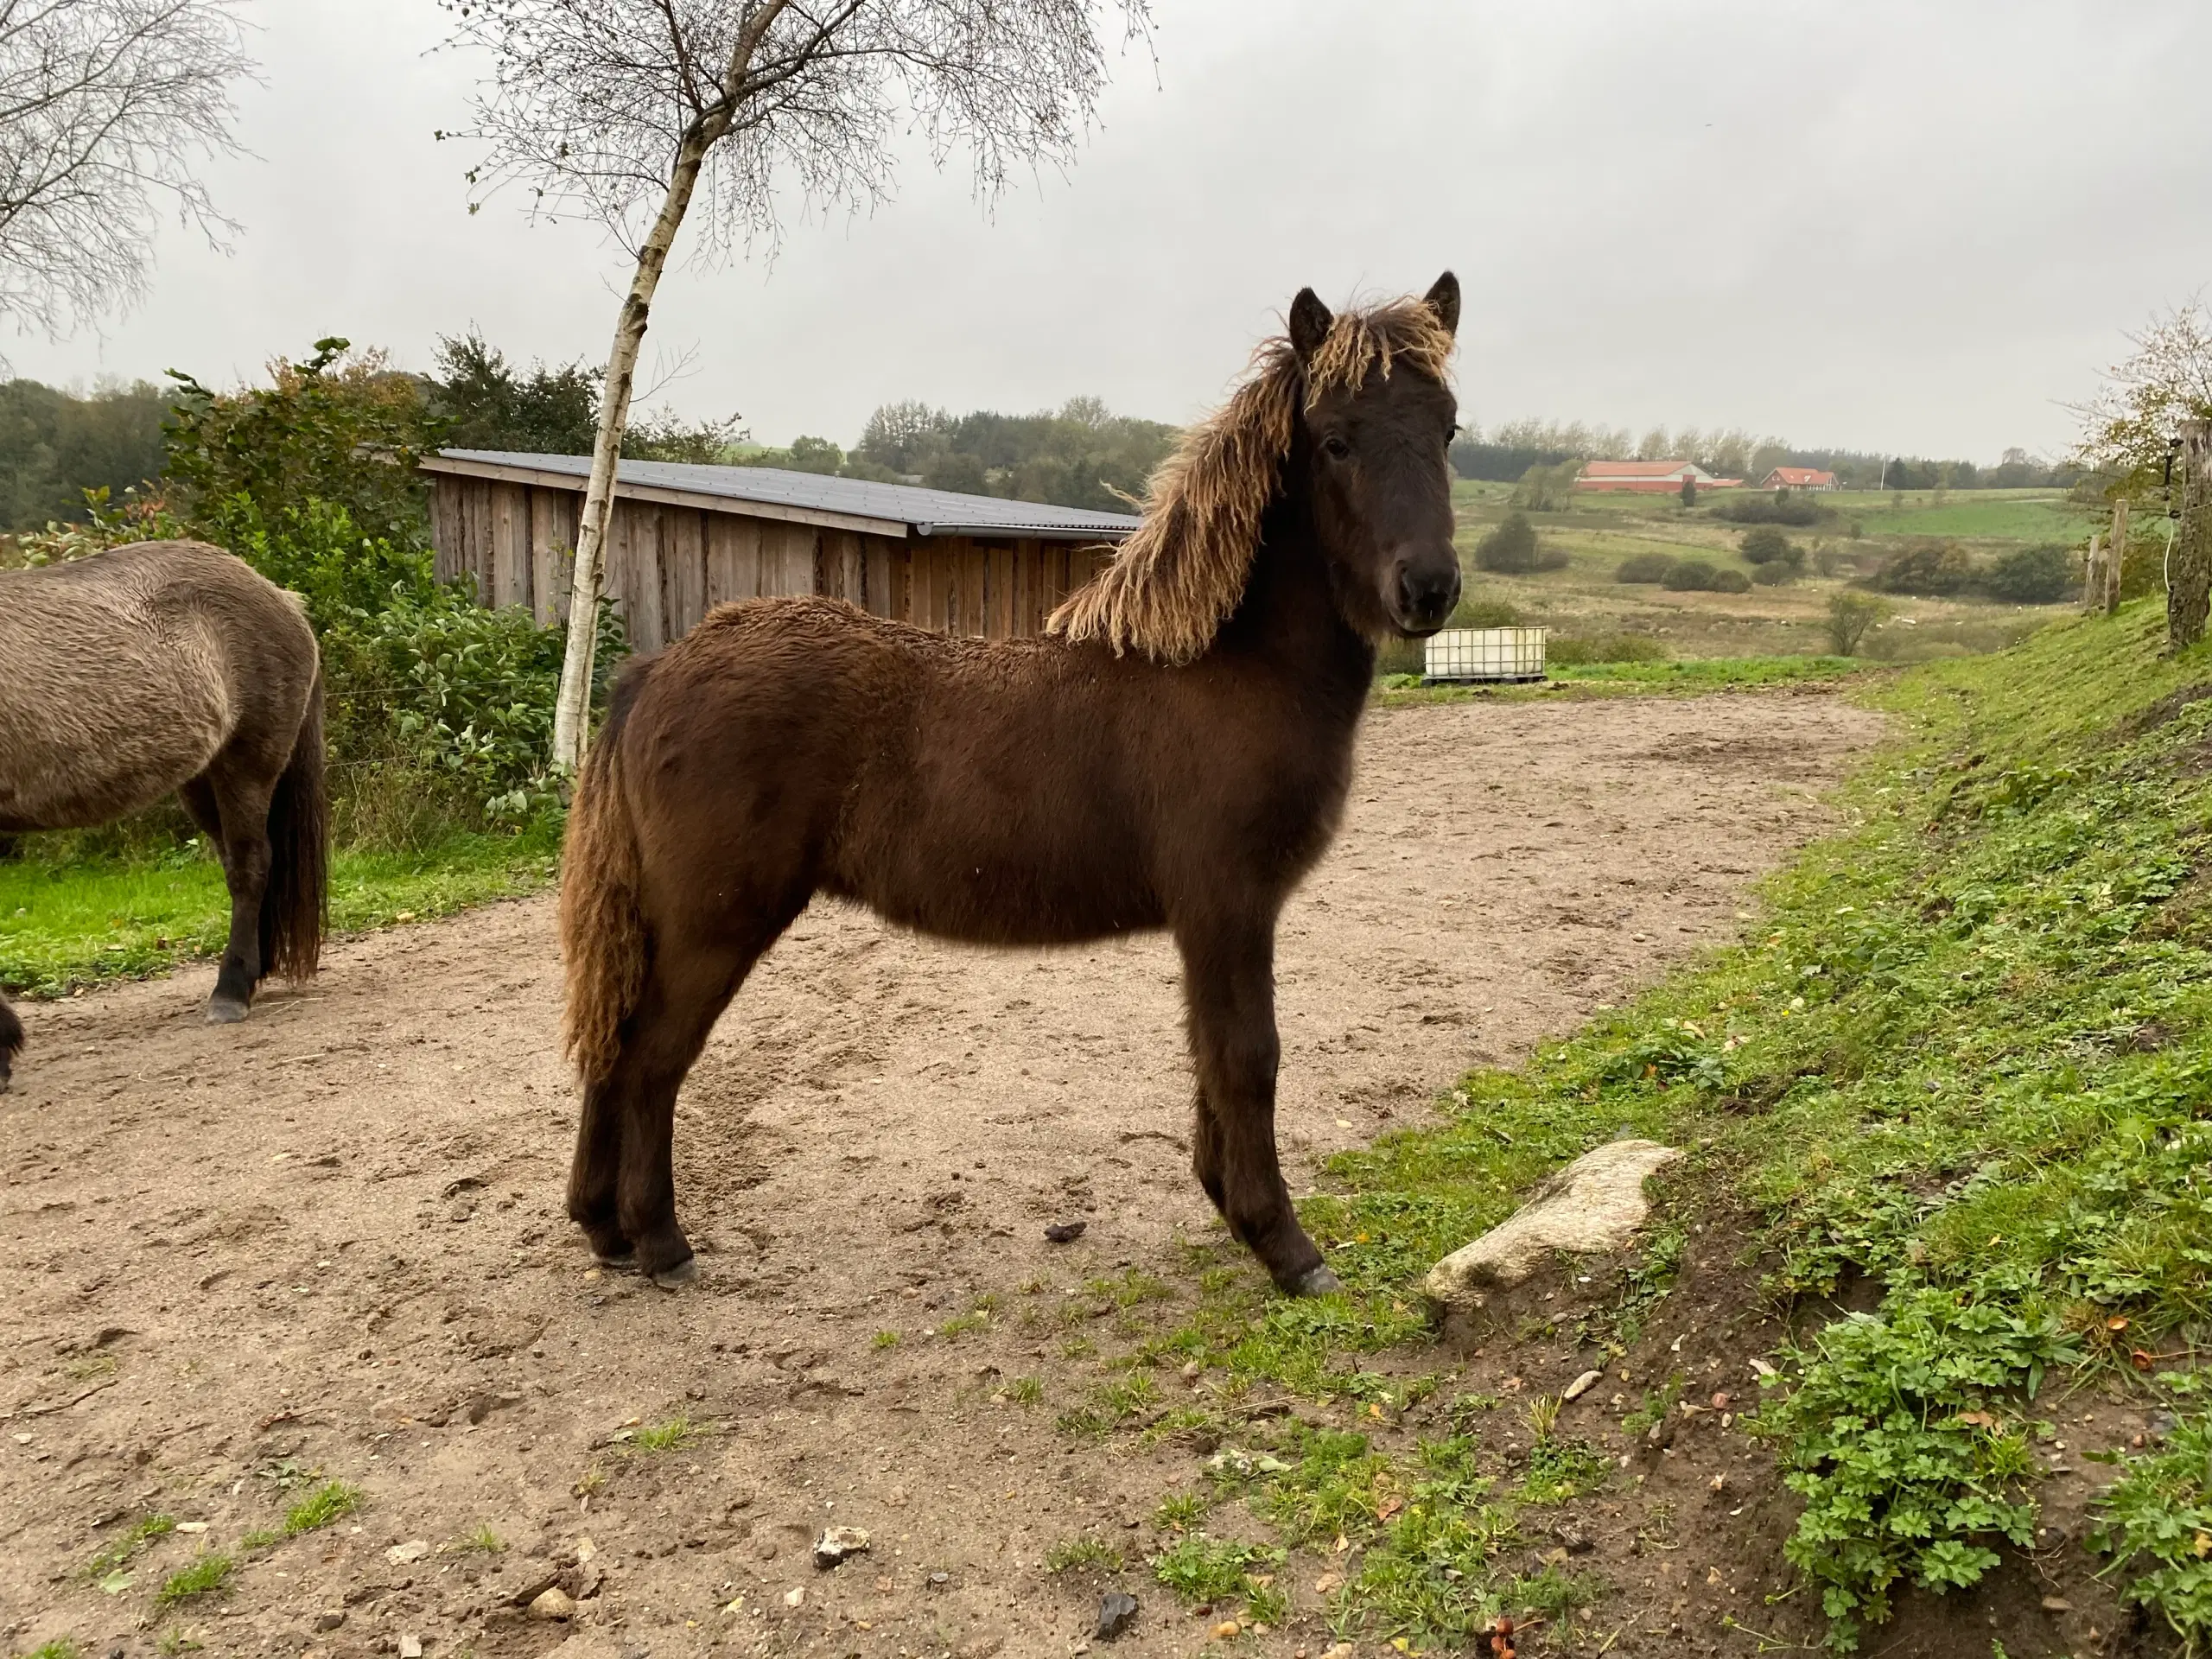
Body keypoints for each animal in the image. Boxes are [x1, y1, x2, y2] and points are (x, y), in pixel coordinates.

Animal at [0, 539, 327, 1096]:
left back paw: (231, 990)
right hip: (201, 779)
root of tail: (281, 597)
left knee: (250, 866)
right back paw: (254, 970)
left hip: (246, 764)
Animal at [562, 279, 1468, 1300]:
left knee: (611, 1043)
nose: (1428, 589)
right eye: (1336, 439)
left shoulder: (1213, 919)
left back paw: (603, 1228)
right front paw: (1286, 1248)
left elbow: (1209, 1055)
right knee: (650, 1059)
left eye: (1447, 429)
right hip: (712, 923)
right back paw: (660, 1239)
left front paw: (1232, 1210)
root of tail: (654, 671)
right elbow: (1247, 1058)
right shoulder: (1229, 905)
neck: (1227, 666)